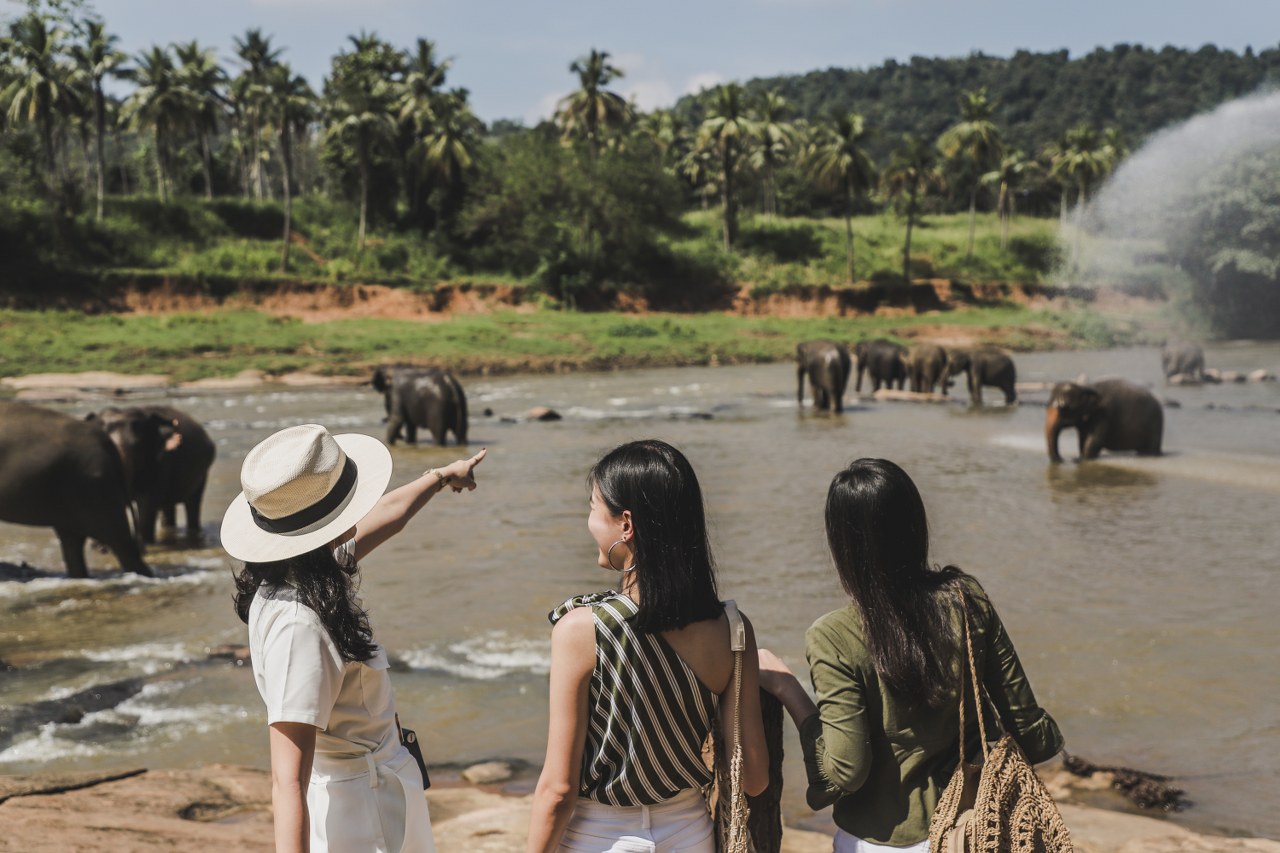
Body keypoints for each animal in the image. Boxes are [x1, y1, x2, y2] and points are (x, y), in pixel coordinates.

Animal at [96, 404, 215, 540]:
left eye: (137, 445)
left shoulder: (159, 461)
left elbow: (146, 504)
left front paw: (145, 541)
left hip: (202, 472)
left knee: (193, 504)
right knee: (167, 506)